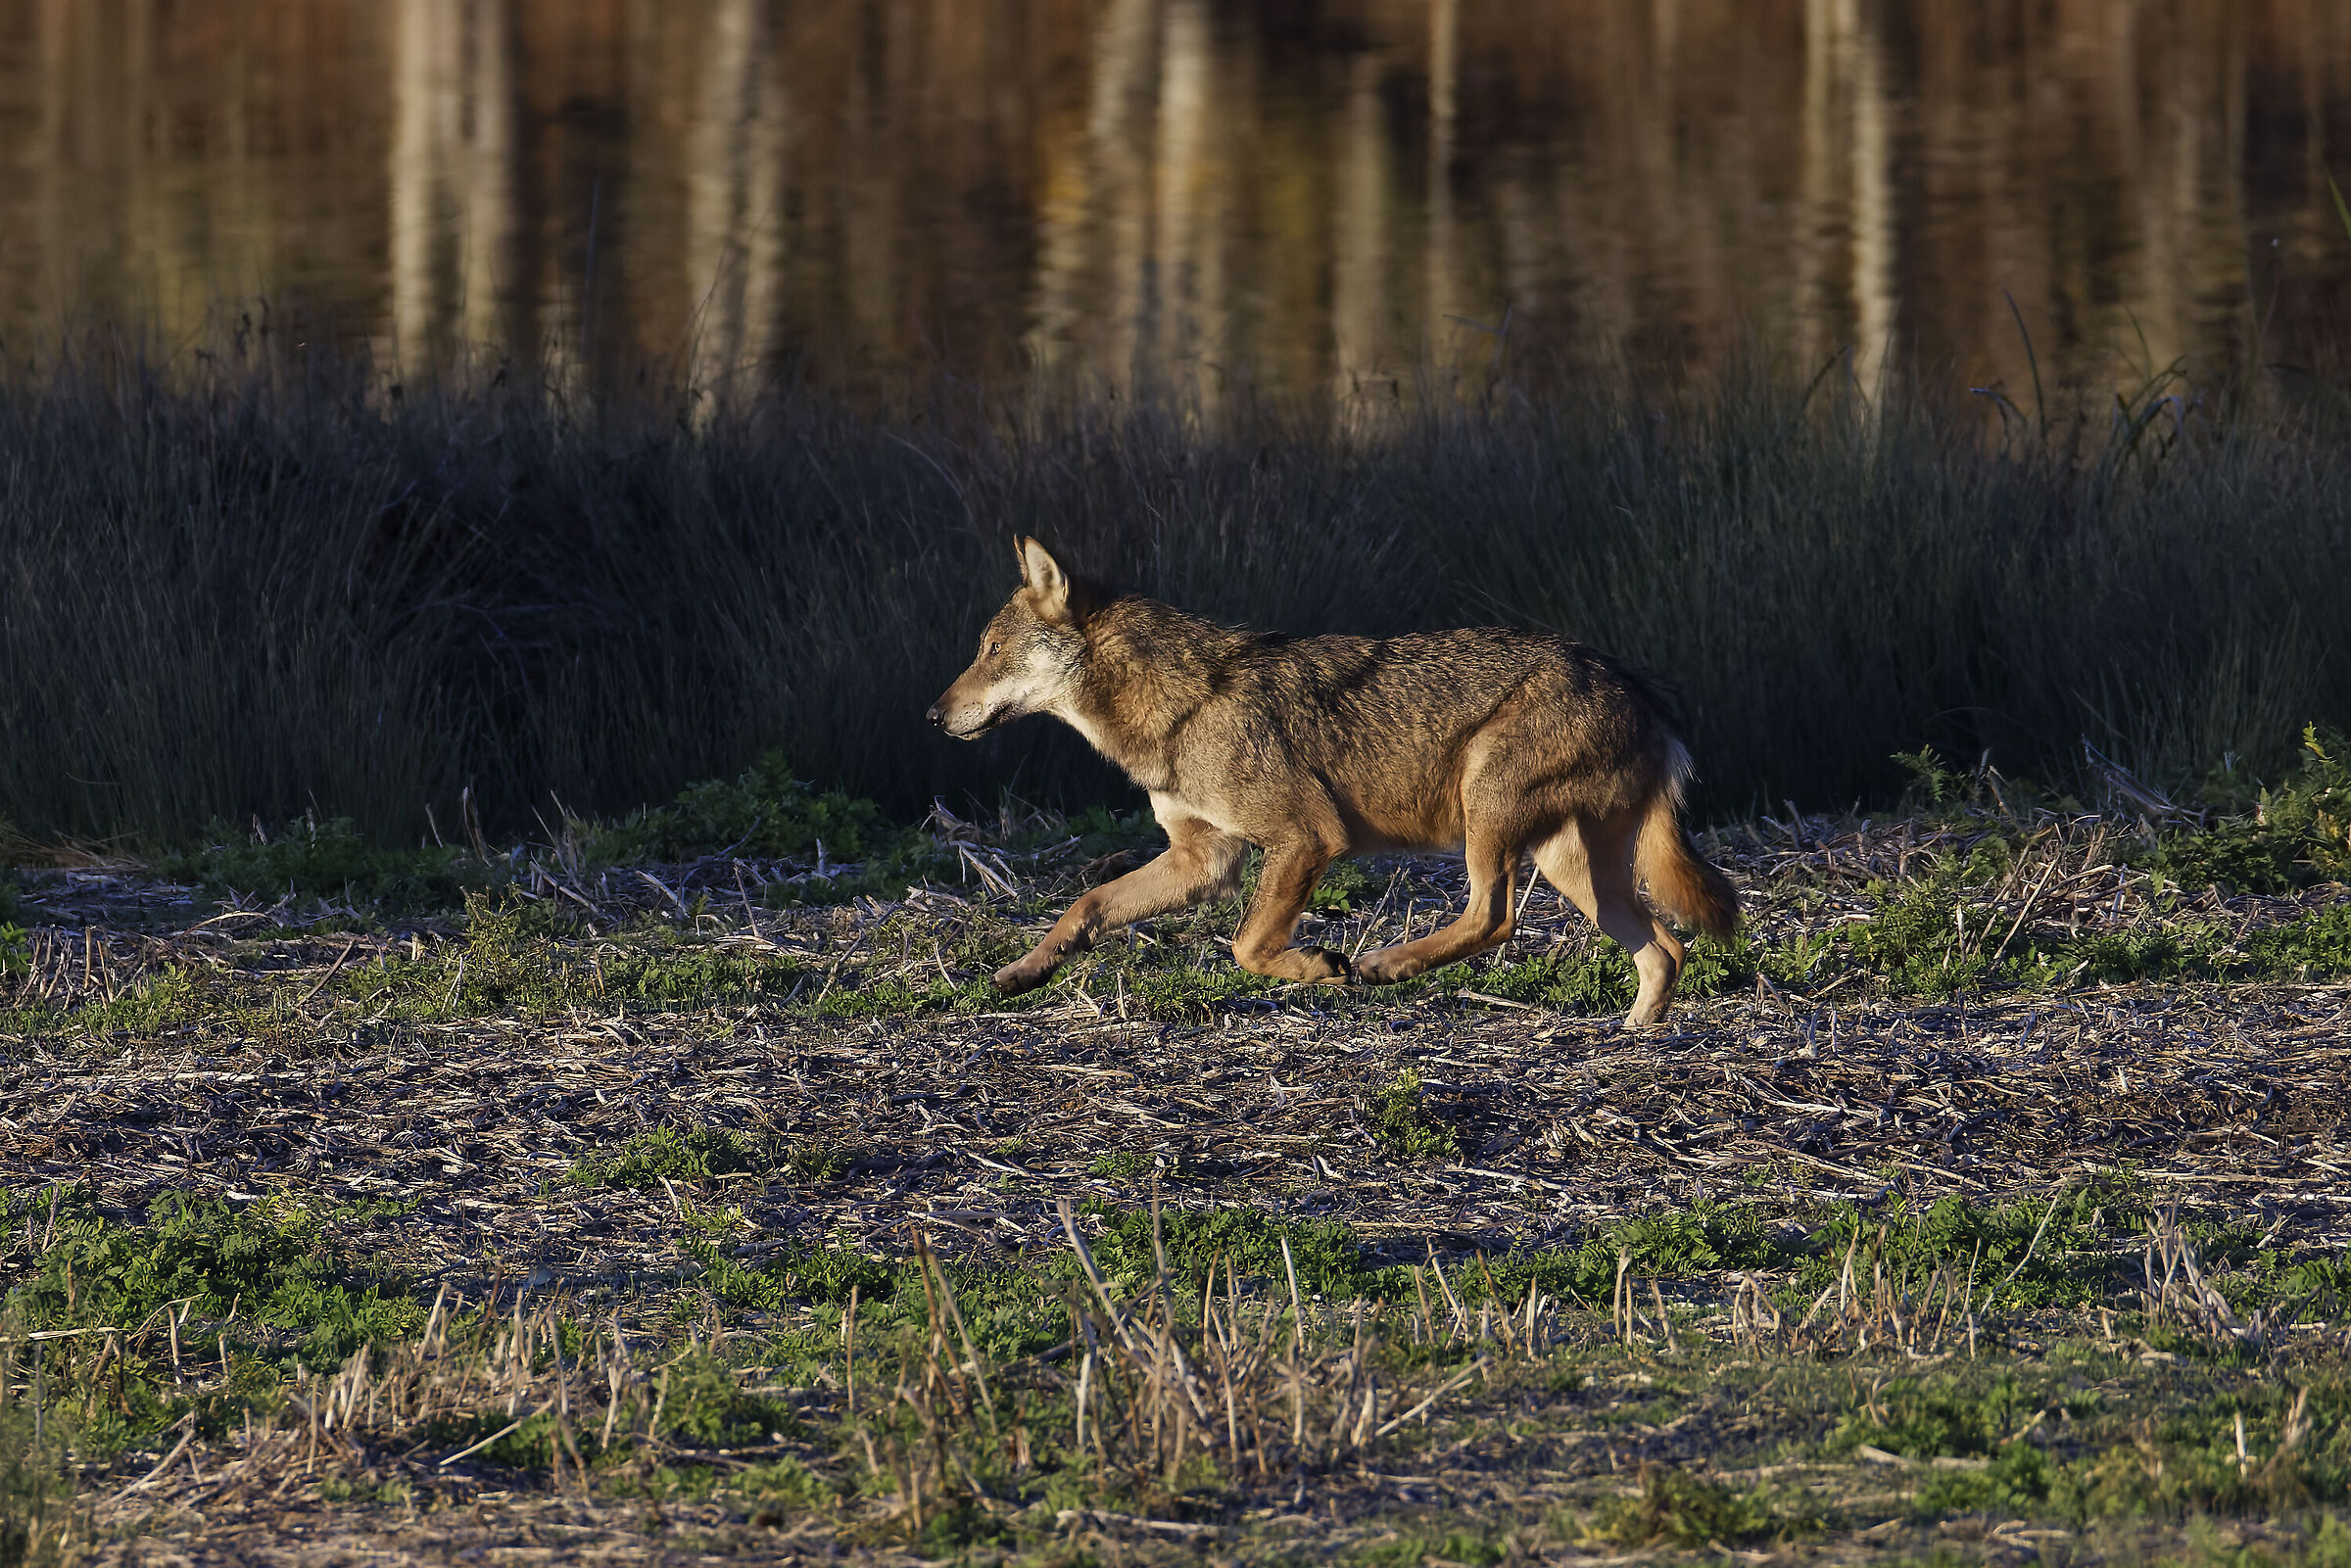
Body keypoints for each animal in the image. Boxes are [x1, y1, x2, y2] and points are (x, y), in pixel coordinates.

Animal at [924, 539, 1739, 1024]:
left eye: (989, 649)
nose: (932, 715)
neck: (1181, 705)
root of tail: (1636, 685)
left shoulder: (1306, 837)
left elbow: (1247, 946)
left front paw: (1321, 966)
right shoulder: (1201, 859)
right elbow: (1087, 904)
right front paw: (1022, 972)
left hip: (1490, 819)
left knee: (1495, 918)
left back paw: (1385, 964)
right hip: (1573, 869)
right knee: (1665, 950)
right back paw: (1628, 1037)